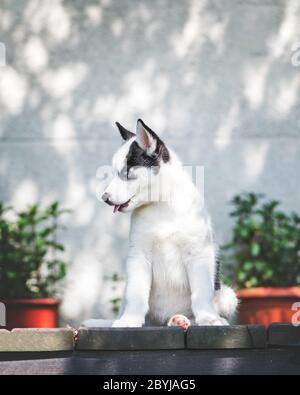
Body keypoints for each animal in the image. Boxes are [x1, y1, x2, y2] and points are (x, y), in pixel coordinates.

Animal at [82, 119, 237, 330]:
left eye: (127, 172)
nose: (105, 198)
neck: (162, 206)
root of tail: (162, 321)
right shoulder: (139, 255)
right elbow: (136, 295)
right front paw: (130, 320)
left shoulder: (199, 254)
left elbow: (202, 293)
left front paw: (209, 319)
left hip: (228, 295)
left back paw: (183, 320)